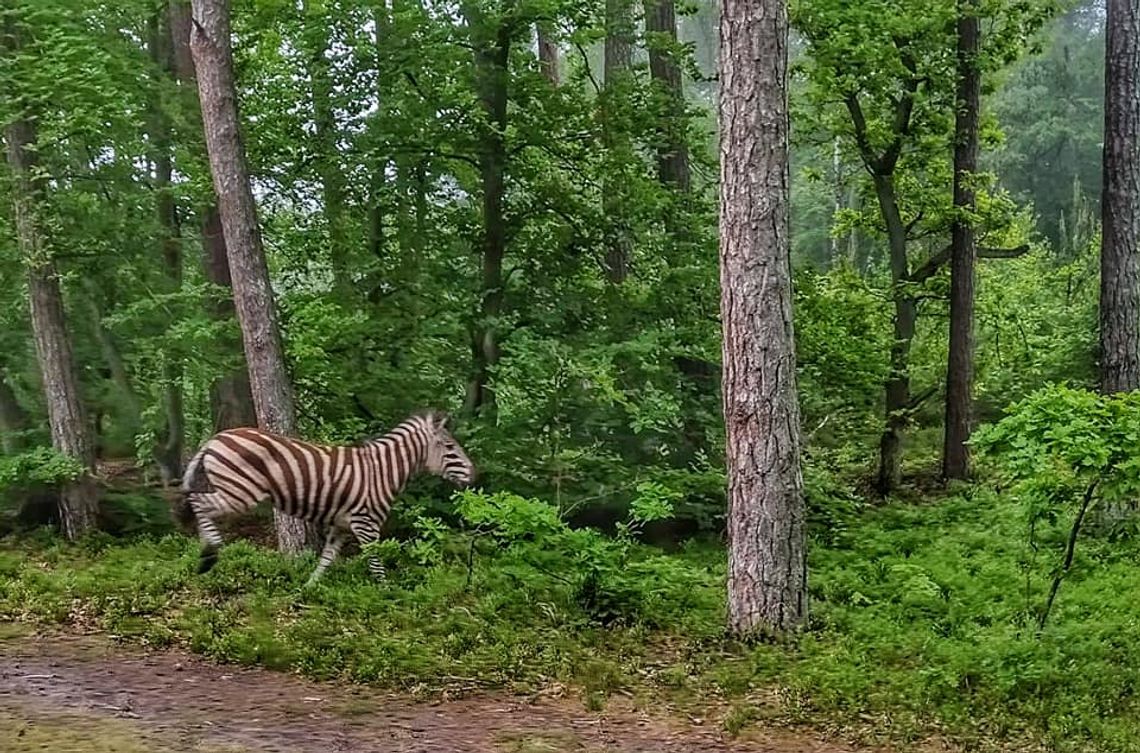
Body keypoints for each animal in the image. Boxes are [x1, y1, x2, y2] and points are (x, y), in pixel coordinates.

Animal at [176, 407, 476, 583]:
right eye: (450, 447)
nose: (475, 474)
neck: (383, 471)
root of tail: (215, 439)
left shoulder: (340, 526)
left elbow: (326, 561)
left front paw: (309, 591)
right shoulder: (366, 523)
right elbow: (376, 563)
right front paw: (386, 596)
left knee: (198, 503)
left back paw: (204, 555)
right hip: (240, 491)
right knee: (199, 503)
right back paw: (210, 553)